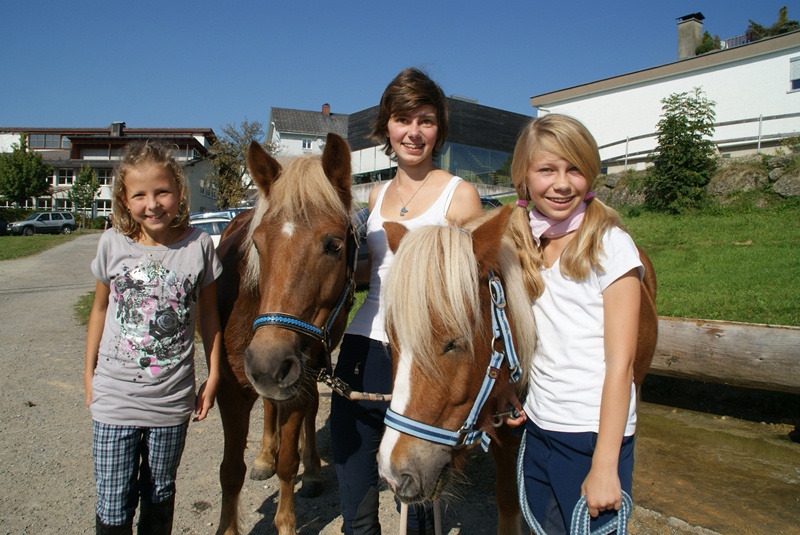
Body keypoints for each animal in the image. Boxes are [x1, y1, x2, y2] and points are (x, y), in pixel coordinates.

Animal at [213, 133, 356, 535]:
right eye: (257, 244)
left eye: (335, 245)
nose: (267, 362)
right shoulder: (229, 390)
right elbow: (231, 471)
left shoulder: (298, 378)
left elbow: (288, 463)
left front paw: (288, 518)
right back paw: (264, 455)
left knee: (309, 409)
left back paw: (313, 471)